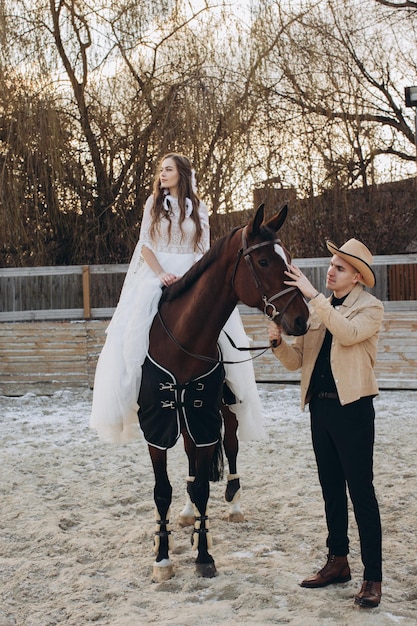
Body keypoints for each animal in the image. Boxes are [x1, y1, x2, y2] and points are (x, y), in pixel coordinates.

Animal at [138, 206, 308, 580]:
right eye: (263, 261)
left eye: (289, 259)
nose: (302, 320)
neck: (183, 341)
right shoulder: (159, 426)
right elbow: (163, 491)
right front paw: (162, 557)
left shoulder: (204, 418)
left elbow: (204, 486)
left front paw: (203, 555)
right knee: (190, 461)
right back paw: (186, 513)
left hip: (224, 412)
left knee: (230, 447)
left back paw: (234, 503)